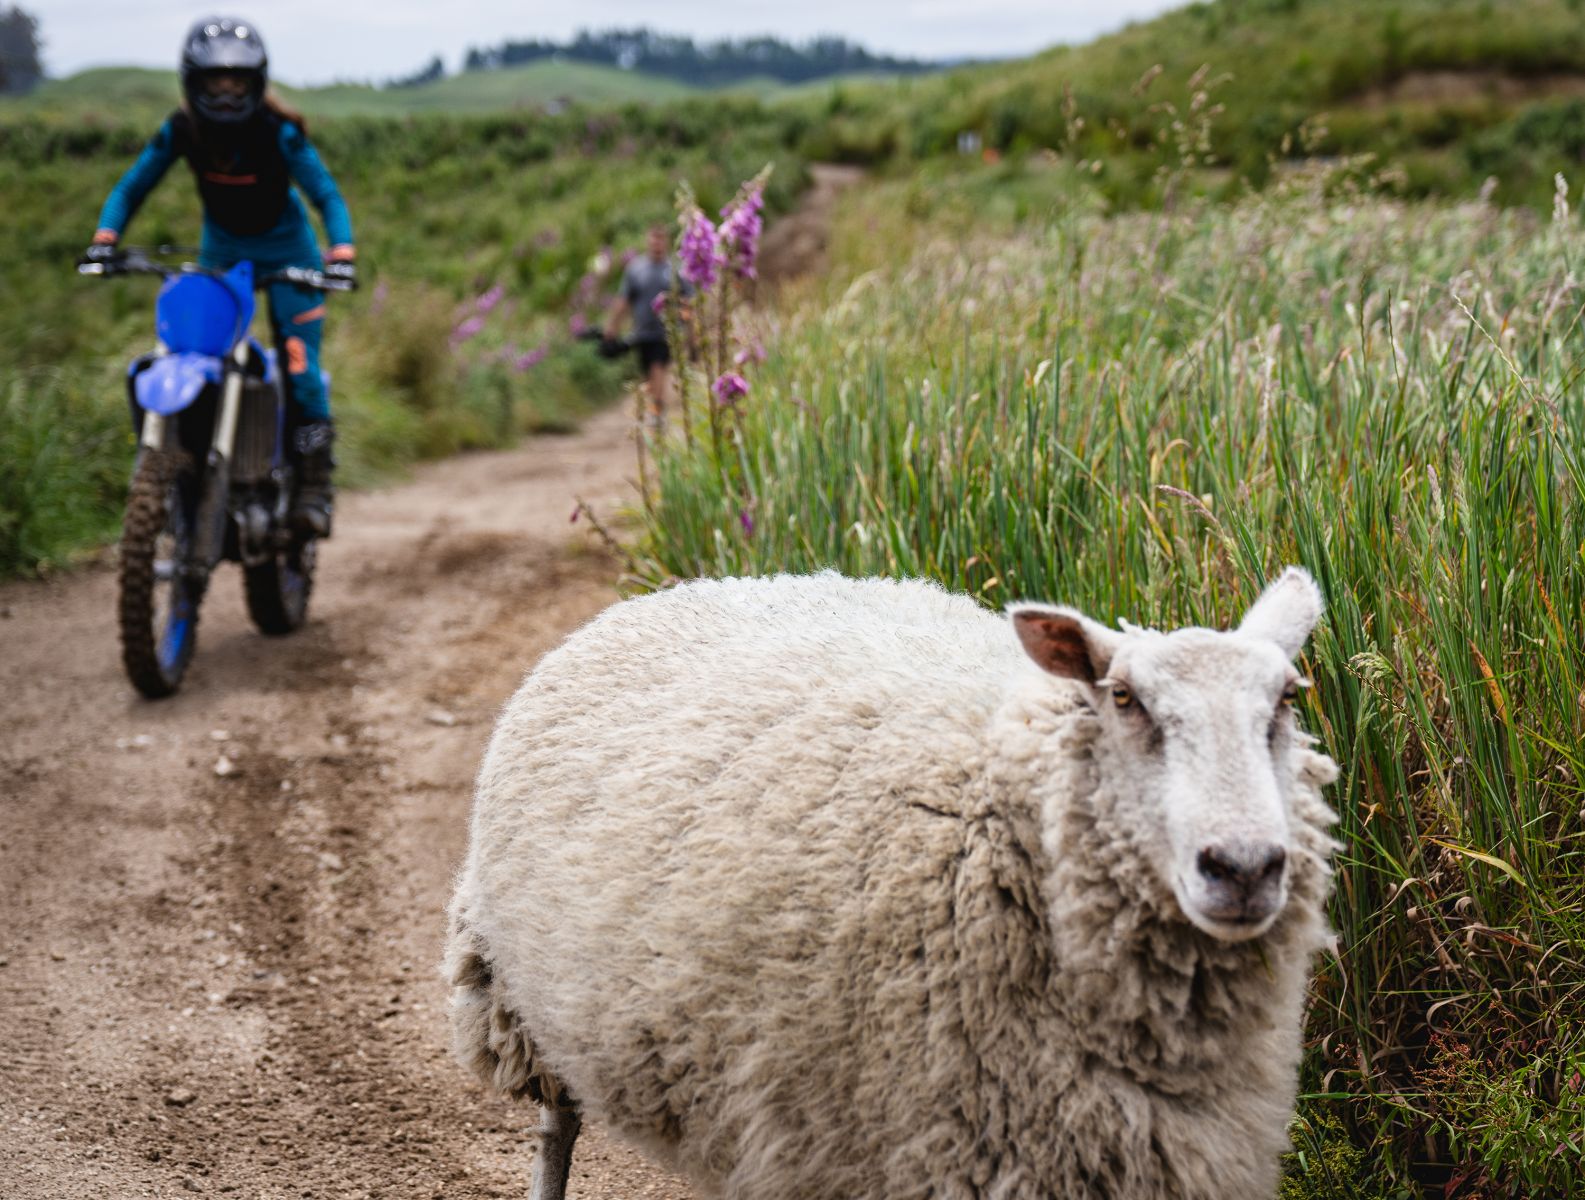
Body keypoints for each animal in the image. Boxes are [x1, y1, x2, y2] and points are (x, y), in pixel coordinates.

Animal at [444, 568, 1341, 1200]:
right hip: (521, 995)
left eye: (1285, 700)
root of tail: (692, 585)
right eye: (1122, 697)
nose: (1243, 866)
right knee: (555, 1127)